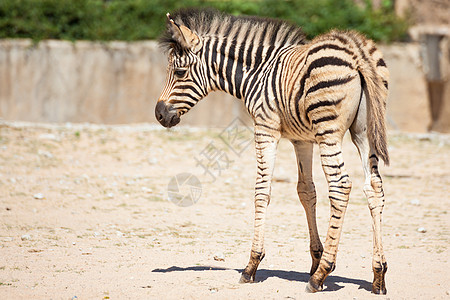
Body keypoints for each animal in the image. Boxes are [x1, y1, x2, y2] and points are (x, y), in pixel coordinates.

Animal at [155, 7, 390, 296]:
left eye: (179, 72)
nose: (159, 114)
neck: (257, 73)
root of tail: (356, 51)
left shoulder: (265, 128)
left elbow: (261, 190)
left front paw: (252, 264)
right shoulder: (302, 140)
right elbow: (306, 191)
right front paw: (315, 259)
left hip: (329, 131)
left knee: (340, 186)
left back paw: (320, 277)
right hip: (363, 131)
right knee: (374, 187)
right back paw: (377, 275)